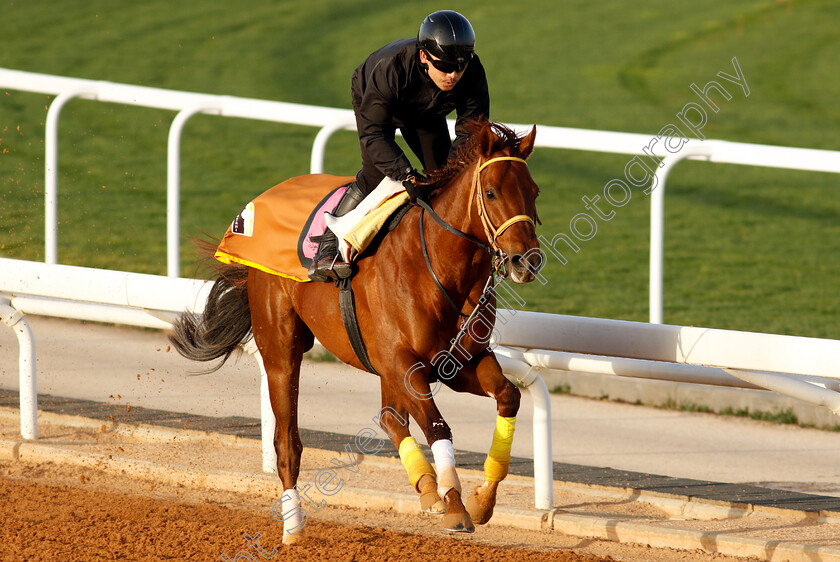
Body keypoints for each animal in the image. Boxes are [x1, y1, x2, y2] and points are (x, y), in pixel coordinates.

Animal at [169, 120, 544, 540]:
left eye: (533, 191)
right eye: (492, 192)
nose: (526, 261)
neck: (437, 267)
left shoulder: (457, 362)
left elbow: (508, 396)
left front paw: (481, 500)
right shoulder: (403, 363)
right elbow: (437, 426)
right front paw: (455, 505)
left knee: (390, 418)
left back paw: (426, 487)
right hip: (282, 350)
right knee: (287, 441)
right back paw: (293, 526)